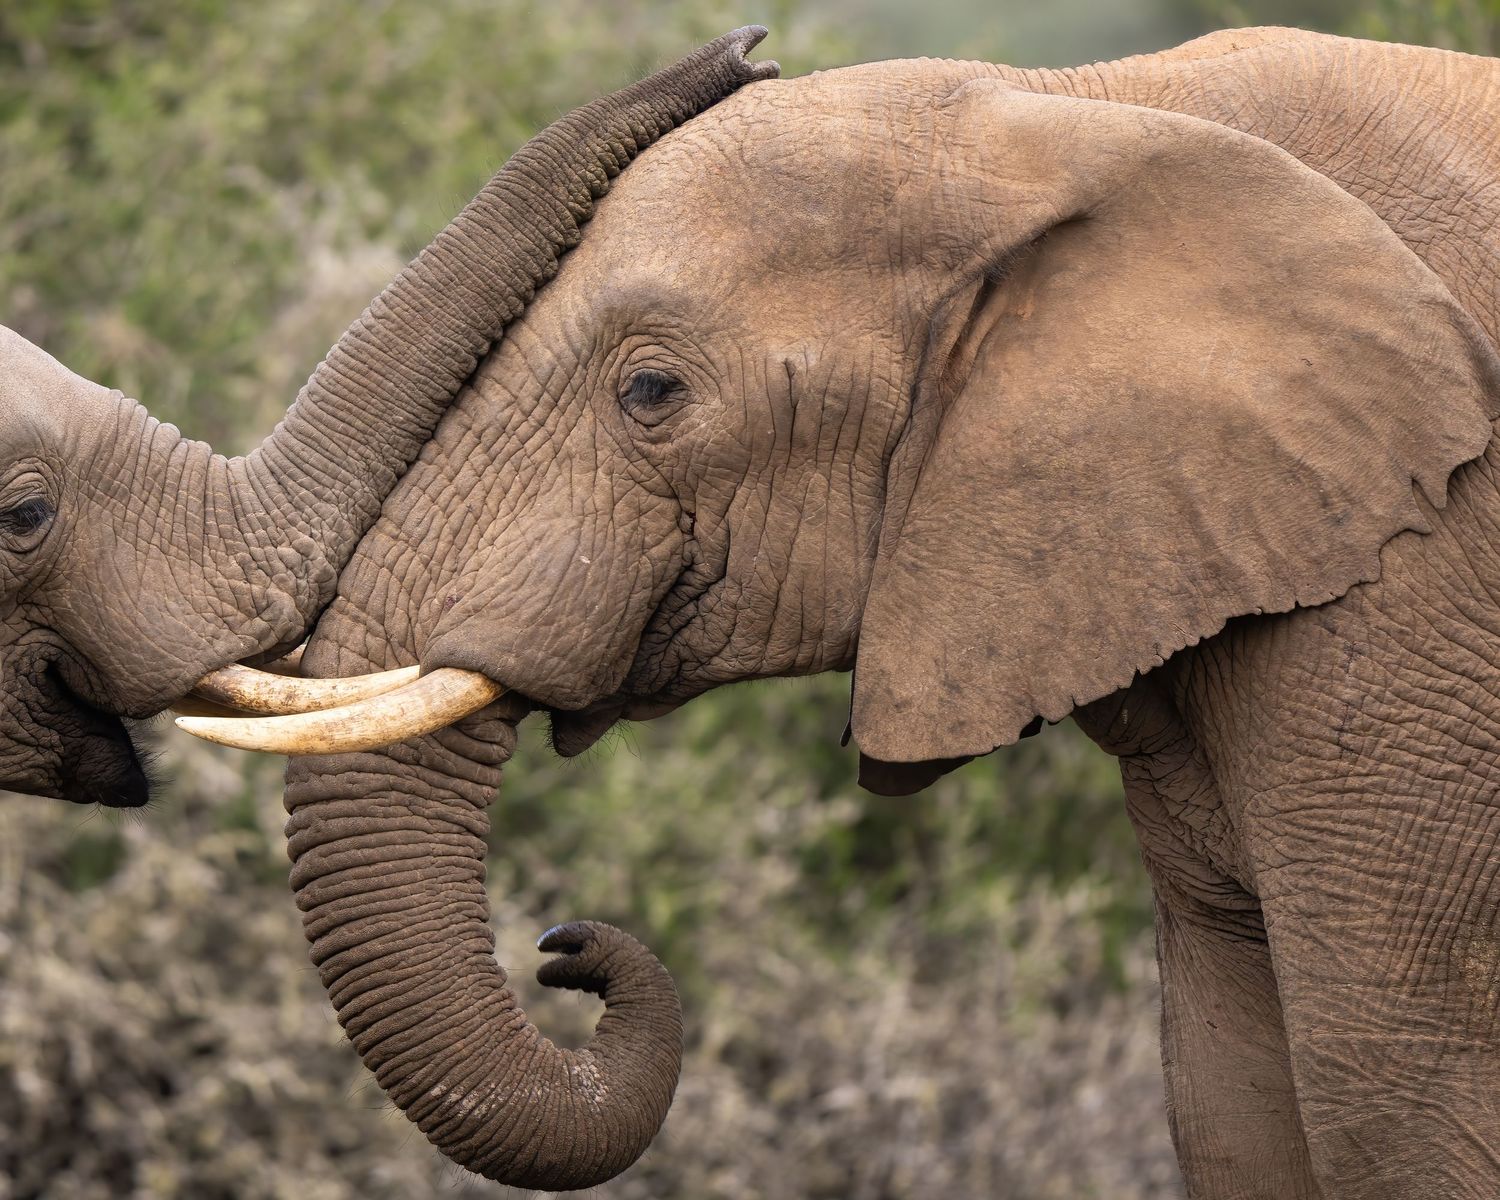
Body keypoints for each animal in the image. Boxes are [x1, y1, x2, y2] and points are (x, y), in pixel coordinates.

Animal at [161, 22, 1500, 1200]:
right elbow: (1232, 1107)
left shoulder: (1416, 592)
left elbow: (1393, 1111)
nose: (566, 949)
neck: (1075, 111)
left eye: (652, 392)